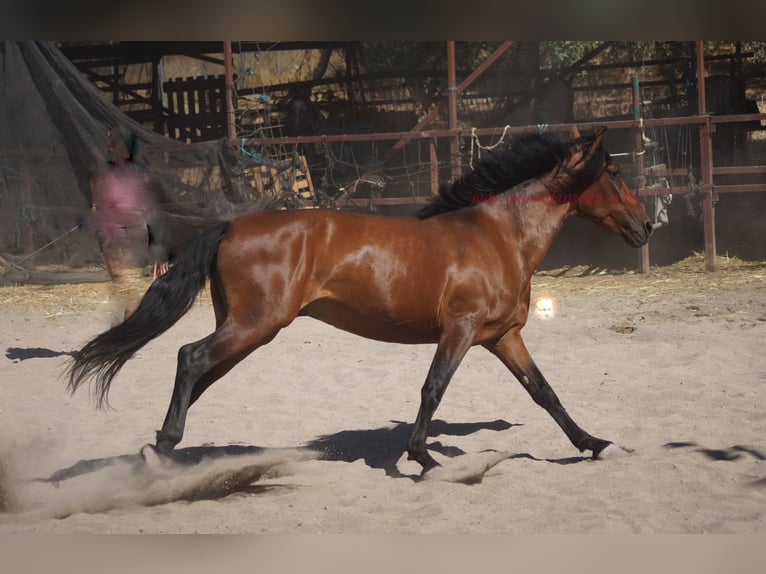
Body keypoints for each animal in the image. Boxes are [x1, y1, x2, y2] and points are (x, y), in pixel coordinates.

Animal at [66, 126, 652, 474]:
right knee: (190, 358)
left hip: (247, 329)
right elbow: (433, 389)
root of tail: (230, 224)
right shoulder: (460, 330)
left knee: (199, 373)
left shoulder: (503, 336)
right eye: (615, 172)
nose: (646, 227)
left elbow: (544, 392)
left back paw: (162, 450)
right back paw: (160, 452)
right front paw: (422, 459)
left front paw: (595, 444)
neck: (498, 234)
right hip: (256, 324)